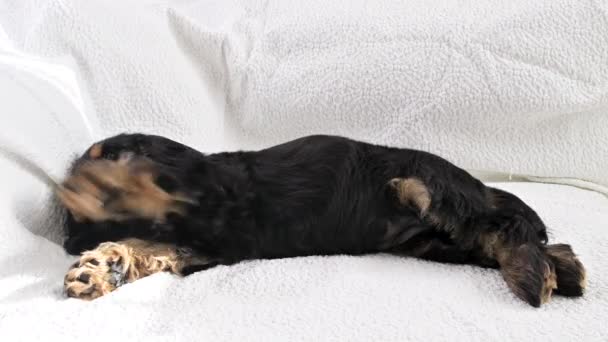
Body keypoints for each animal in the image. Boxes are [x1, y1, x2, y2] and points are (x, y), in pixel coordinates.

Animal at [60, 132, 584, 306]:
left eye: (110, 153)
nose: (69, 237)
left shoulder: (216, 214)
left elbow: (147, 191)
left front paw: (101, 187)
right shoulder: (203, 244)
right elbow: (146, 245)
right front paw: (98, 268)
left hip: (428, 188)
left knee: (507, 226)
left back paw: (542, 276)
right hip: (436, 243)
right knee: (504, 240)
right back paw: (564, 273)